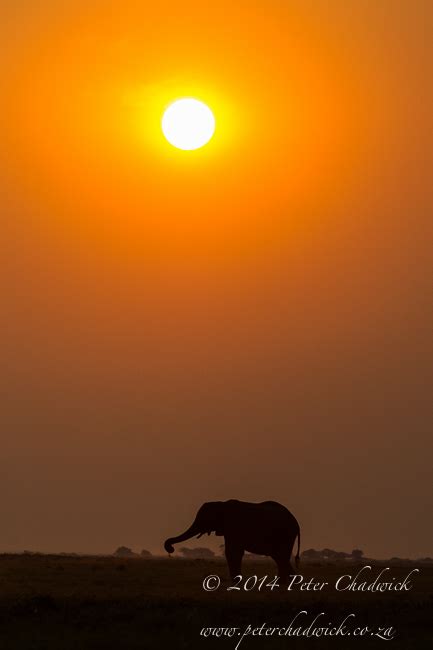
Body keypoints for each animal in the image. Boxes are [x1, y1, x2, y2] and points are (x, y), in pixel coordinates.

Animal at [163, 498, 300, 580]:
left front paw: (235, 582)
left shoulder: (232, 526)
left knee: (280, 556)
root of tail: (296, 522)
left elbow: (232, 552)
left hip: (285, 534)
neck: (221, 504)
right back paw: (287, 582)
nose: (170, 548)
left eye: (204, 519)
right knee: (279, 557)